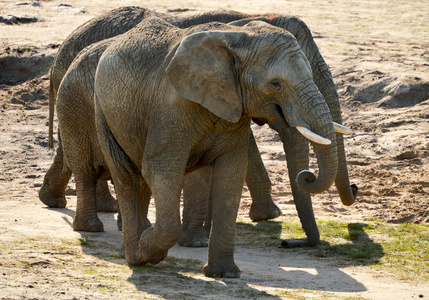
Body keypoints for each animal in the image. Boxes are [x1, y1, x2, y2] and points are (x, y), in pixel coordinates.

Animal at [93, 17, 338, 278]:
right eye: (275, 84)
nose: (286, 243)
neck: (239, 38)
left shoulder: (235, 108)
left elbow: (230, 176)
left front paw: (223, 274)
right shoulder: (171, 106)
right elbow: (162, 169)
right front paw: (148, 246)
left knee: (139, 179)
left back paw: (133, 251)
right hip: (103, 111)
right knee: (126, 174)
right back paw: (135, 257)